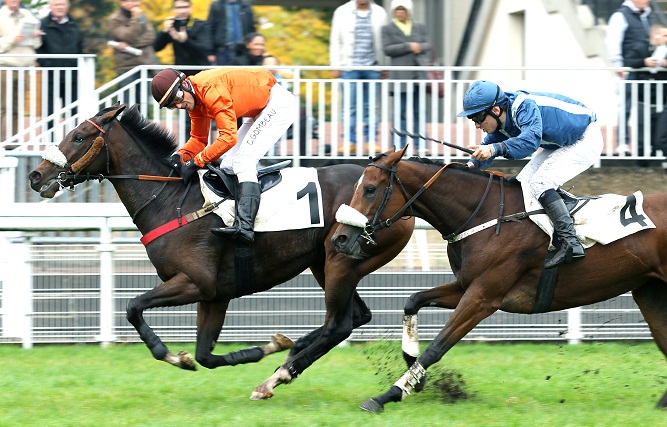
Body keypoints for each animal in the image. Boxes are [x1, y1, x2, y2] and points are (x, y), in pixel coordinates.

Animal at [28, 104, 414, 402]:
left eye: (78, 136)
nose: (35, 175)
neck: (171, 200)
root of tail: (403, 196)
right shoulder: (214, 294)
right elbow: (205, 355)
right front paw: (263, 348)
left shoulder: (194, 282)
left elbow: (134, 307)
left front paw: (173, 355)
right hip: (327, 262)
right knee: (355, 317)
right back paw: (289, 352)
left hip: (341, 261)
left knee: (339, 324)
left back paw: (278, 375)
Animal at [334, 146, 667, 412]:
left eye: (370, 189)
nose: (340, 239)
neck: (487, 215)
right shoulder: (466, 286)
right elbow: (413, 301)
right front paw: (412, 368)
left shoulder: (483, 297)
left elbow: (437, 347)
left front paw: (390, 393)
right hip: (649, 291)